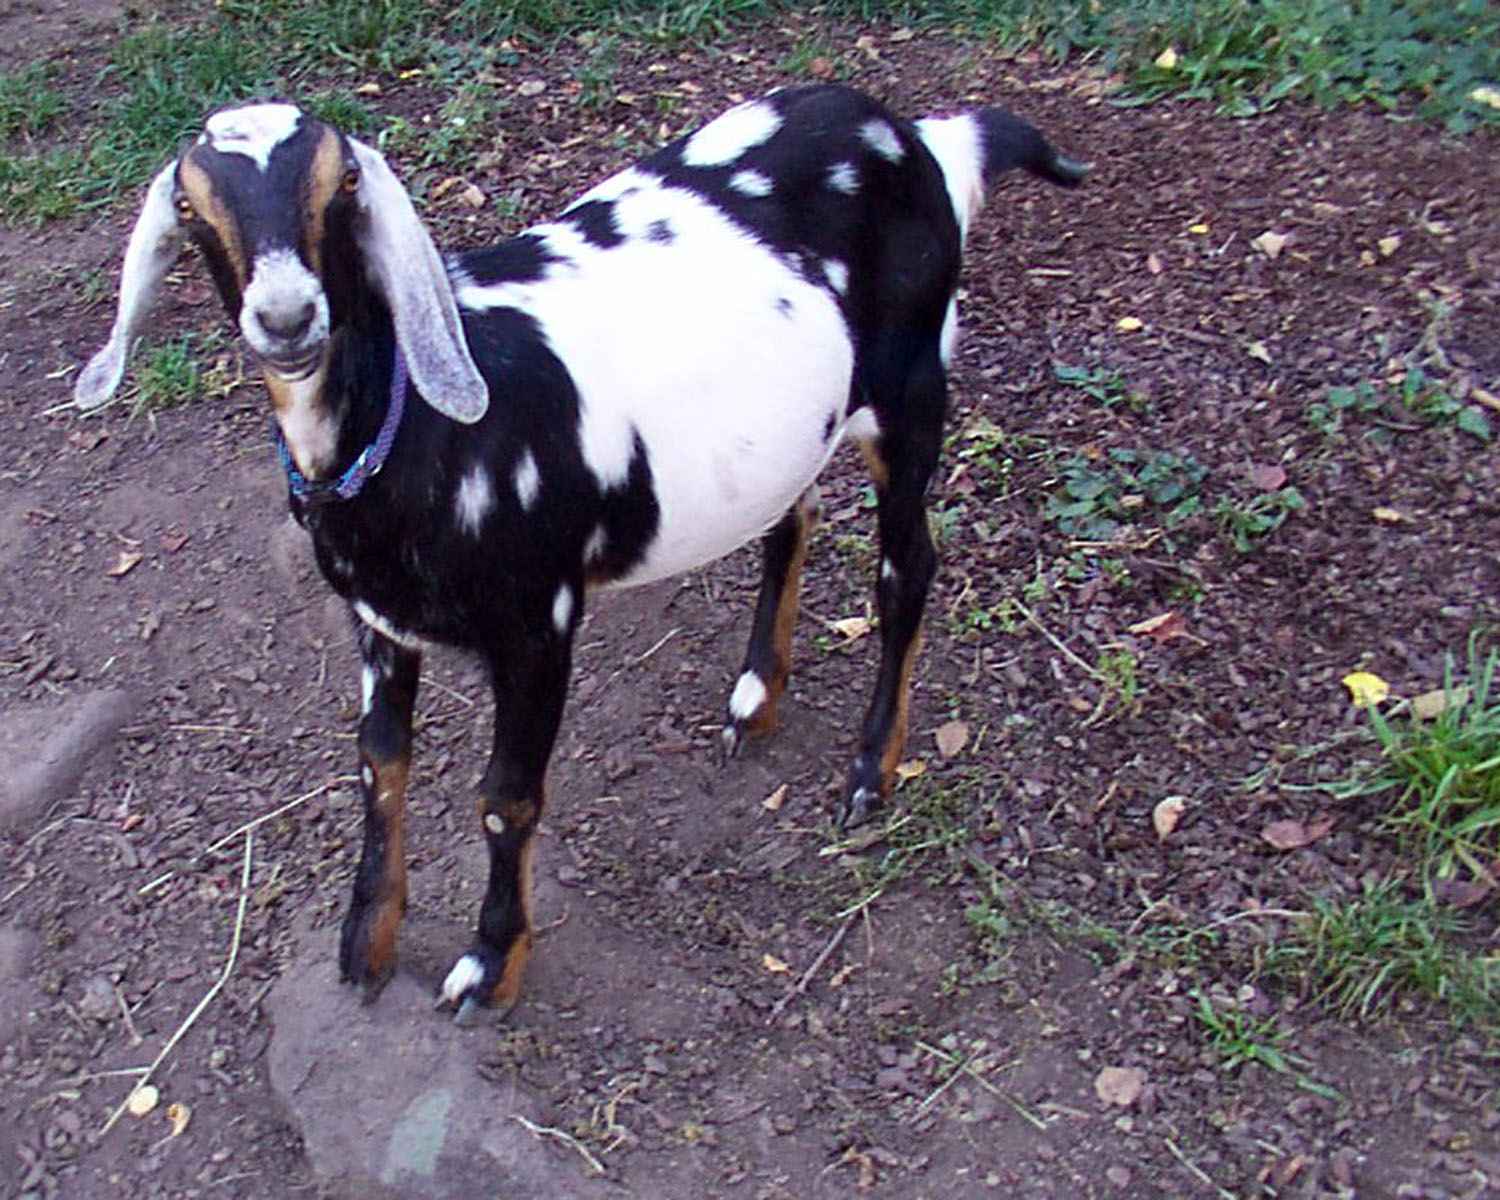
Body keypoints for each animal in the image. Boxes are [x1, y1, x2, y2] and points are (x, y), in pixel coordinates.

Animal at [76, 84, 1085, 1021]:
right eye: (192, 205)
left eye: (345, 183)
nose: (287, 317)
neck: (417, 431)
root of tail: (919, 138)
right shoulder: (379, 622)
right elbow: (379, 764)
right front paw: (366, 942)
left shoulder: (538, 622)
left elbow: (506, 795)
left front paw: (490, 965)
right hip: (794, 426)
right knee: (789, 519)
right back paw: (756, 693)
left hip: (911, 388)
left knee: (907, 570)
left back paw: (873, 770)